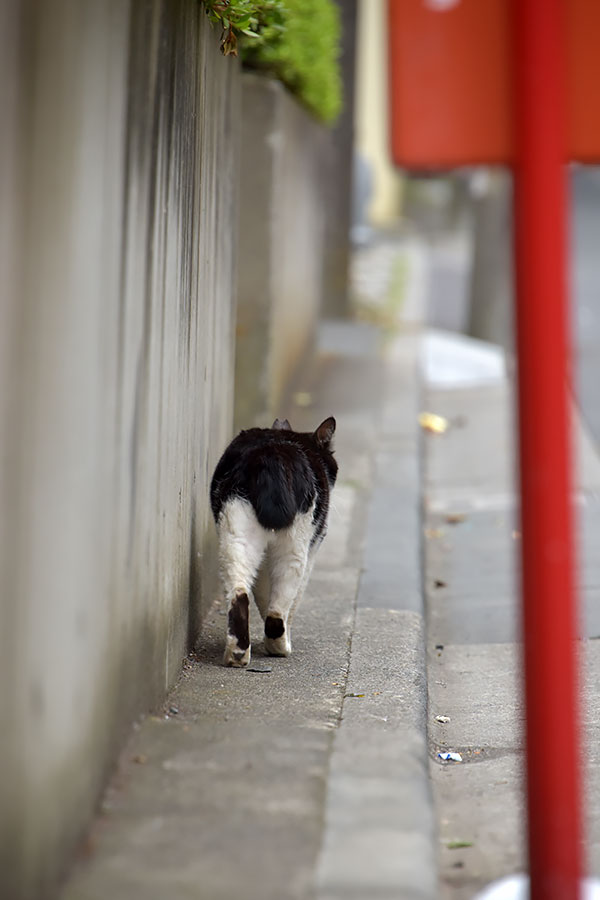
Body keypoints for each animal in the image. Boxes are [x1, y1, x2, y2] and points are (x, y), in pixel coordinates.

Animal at [210, 418, 338, 664]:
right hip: (296, 544)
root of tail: (271, 456)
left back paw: (237, 654)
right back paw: (279, 646)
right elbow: (291, 603)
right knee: (279, 607)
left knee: (240, 590)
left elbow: (261, 594)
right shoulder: (314, 546)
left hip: (236, 531)